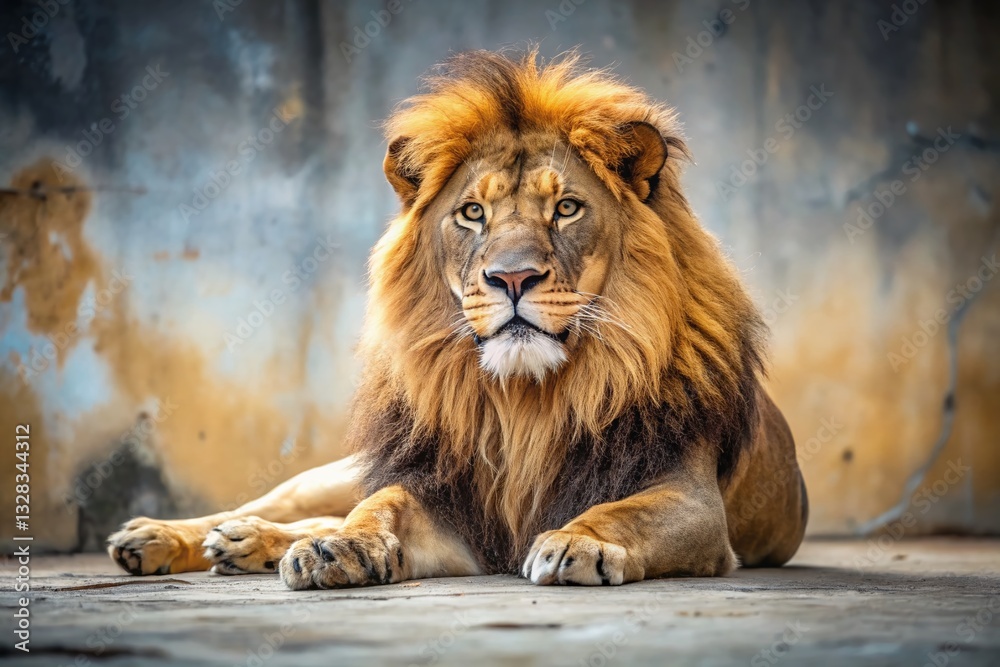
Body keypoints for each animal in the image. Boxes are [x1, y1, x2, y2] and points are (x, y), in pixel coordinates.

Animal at [107, 49, 807, 588]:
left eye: (568, 209)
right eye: (472, 213)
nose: (513, 278)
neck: (527, 401)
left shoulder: (692, 500)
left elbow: (619, 512)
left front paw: (577, 542)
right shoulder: (449, 502)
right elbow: (383, 502)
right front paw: (343, 549)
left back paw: (244, 543)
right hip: (337, 471)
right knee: (304, 503)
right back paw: (169, 537)